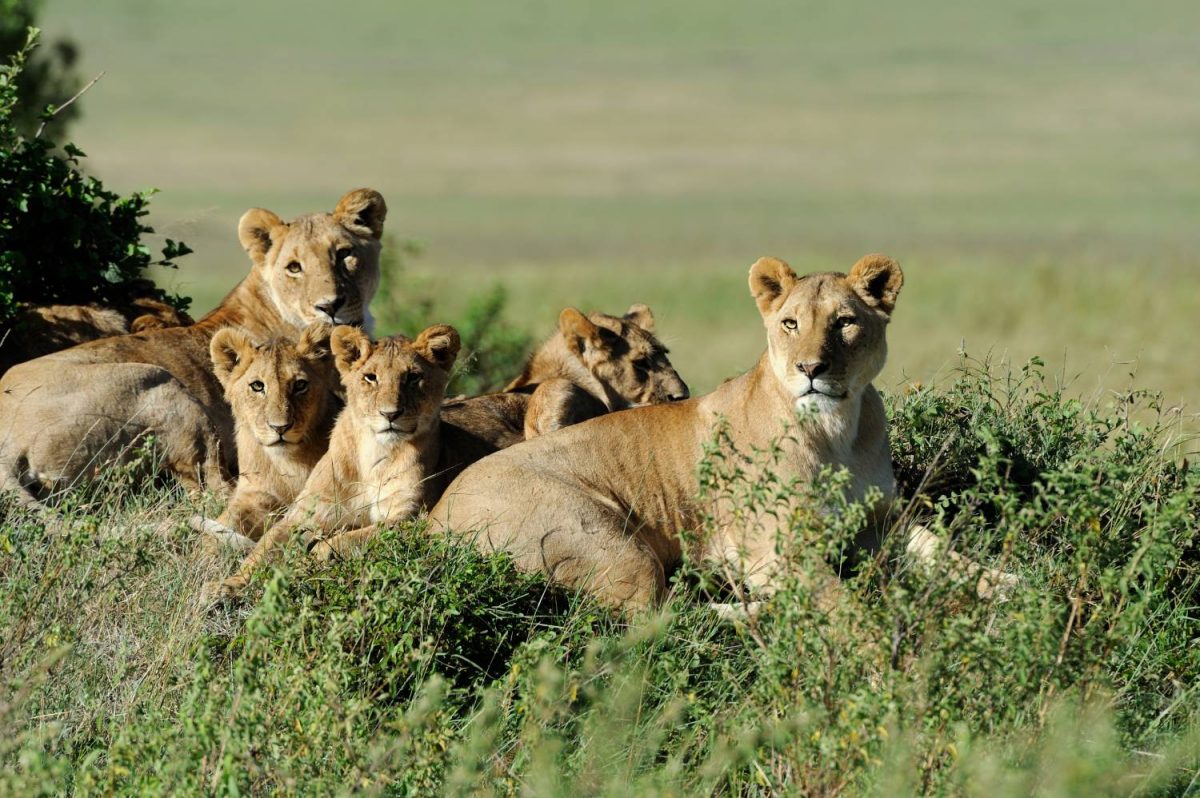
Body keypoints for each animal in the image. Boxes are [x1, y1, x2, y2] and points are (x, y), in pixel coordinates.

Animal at [0, 188, 387, 506]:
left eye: (345, 254)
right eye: (294, 267)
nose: (330, 305)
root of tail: (7, 450)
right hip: (164, 386)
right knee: (217, 490)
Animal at [191, 322, 339, 549]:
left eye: (300, 385)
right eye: (257, 386)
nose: (280, 427)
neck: (286, 463)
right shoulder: (254, 496)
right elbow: (221, 526)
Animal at [428, 254, 1015, 614]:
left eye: (845, 322)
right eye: (790, 323)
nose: (811, 369)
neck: (836, 431)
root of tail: (433, 520)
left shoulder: (881, 517)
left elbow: (940, 549)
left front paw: (1007, 584)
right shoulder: (774, 547)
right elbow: (840, 600)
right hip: (610, 541)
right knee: (656, 620)